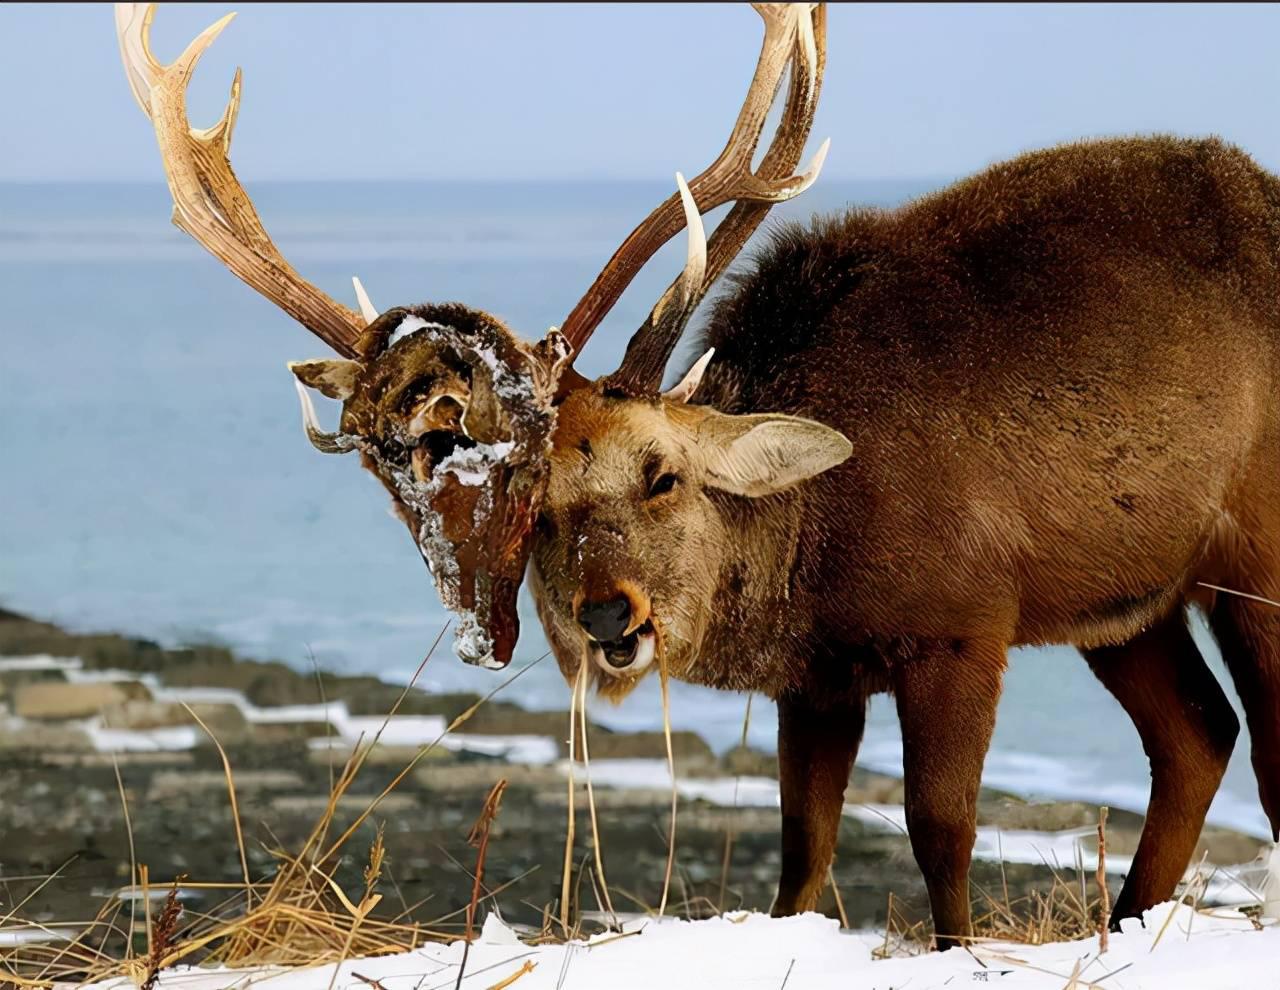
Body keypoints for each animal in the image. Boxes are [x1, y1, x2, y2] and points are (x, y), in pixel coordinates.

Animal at [120, 1, 1280, 947]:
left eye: (662, 473)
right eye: (535, 507)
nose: (609, 616)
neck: (816, 548)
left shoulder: (962, 623)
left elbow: (939, 829)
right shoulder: (818, 677)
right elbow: (800, 856)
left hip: (1253, 555)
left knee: (1254, 748)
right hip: (1126, 598)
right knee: (1196, 735)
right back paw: (1127, 925)